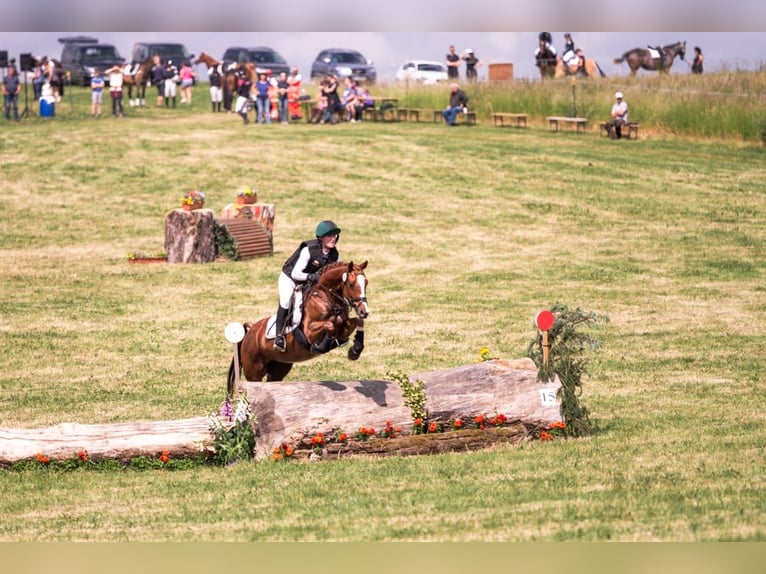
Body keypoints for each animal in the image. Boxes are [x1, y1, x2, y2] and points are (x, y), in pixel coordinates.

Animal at [226, 262, 370, 392]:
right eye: (351, 284)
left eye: (366, 283)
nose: (364, 311)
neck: (326, 297)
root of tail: (250, 331)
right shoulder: (309, 332)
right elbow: (329, 325)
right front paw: (320, 347)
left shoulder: (343, 328)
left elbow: (357, 322)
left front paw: (355, 351)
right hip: (254, 371)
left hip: (279, 367)